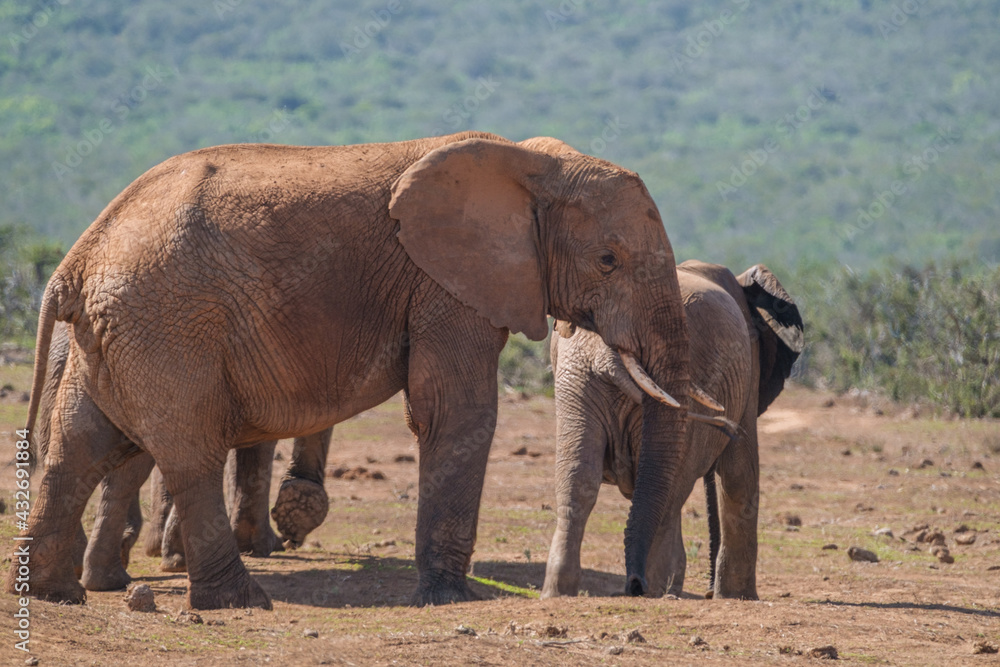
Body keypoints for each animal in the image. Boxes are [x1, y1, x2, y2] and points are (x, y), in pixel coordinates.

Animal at [12, 132, 696, 610]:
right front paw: (449, 598)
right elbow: (455, 412)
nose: (642, 589)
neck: (531, 161)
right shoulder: (445, 286)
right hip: (167, 325)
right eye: (608, 260)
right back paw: (241, 602)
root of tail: (77, 258)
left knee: (82, 445)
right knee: (188, 450)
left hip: (116, 333)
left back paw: (55, 592)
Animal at [541, 260, 803, 600]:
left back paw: (562, 591)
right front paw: (738, 597)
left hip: (578, 377)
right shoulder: (749, 373)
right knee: (672, 492)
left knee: (577, 477)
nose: (707, 591)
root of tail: (609, 353)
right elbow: (739, 473)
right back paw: (655, 591)